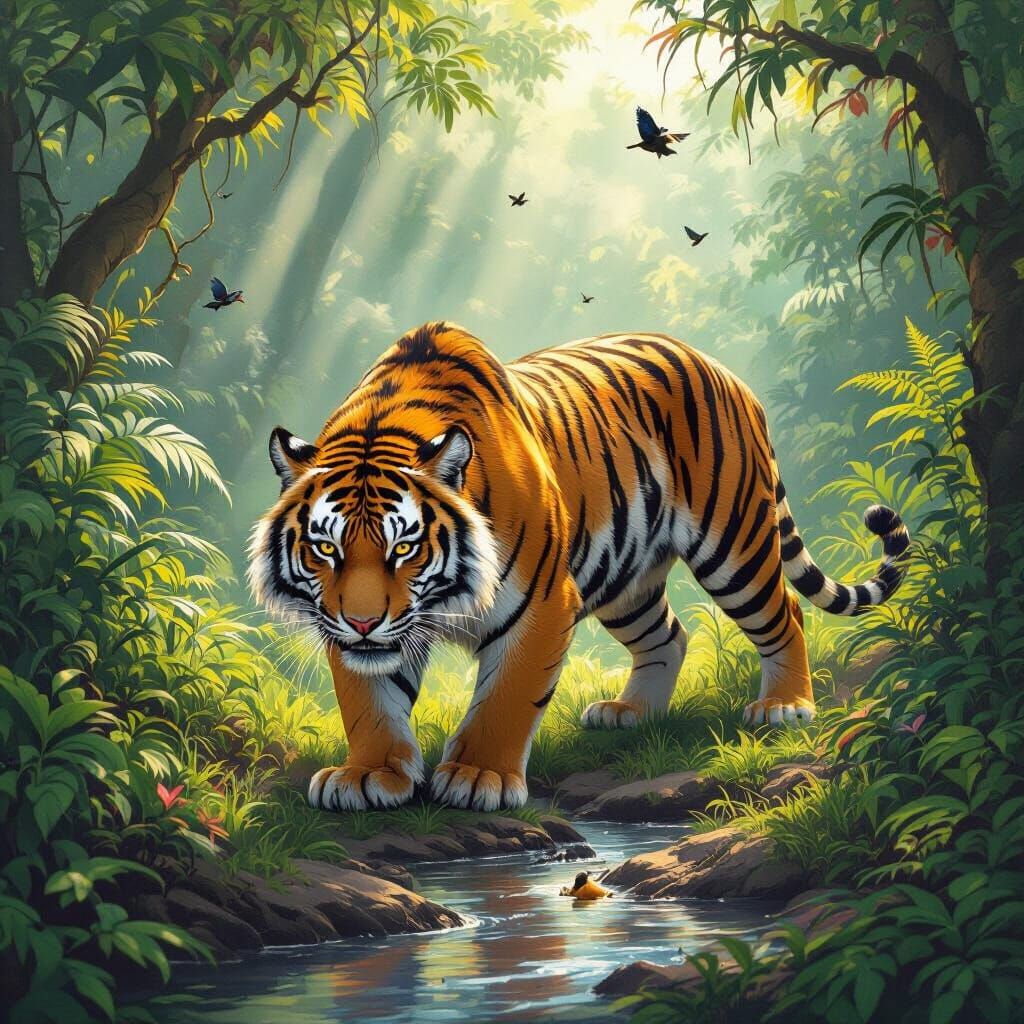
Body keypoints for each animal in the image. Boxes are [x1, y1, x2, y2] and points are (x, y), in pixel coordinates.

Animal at [249, 322, 910, 813]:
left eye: (404, 548)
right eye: (325, 548)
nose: (362, 623)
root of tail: (725, 370)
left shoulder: (541, 603)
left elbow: (509, 696)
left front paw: (477, 777)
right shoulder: (356, 629)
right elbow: (369, 700)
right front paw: (369, 775)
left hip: (734, 543)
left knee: (786, 612)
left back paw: (784, 706)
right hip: (626, 579)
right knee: (669, 635)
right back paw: (631, 714)